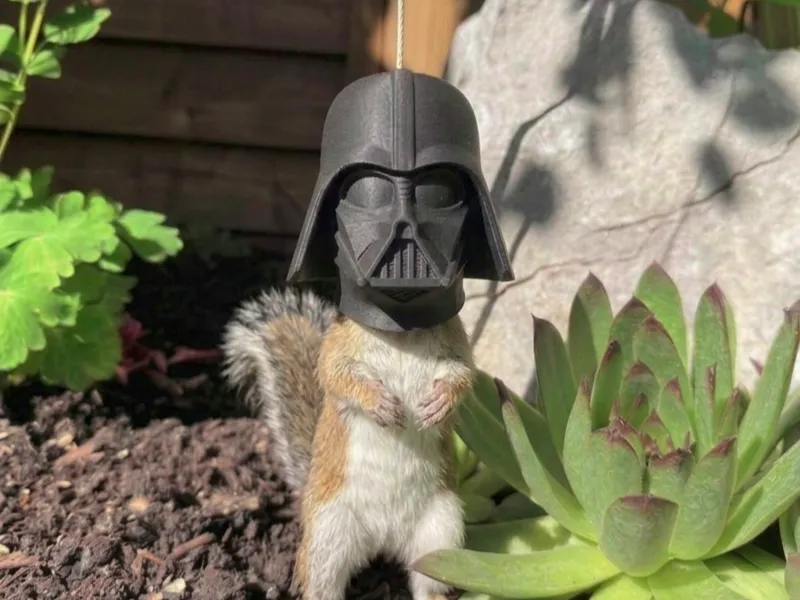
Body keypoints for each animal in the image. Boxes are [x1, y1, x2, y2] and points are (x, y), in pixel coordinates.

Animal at [221, 286, 475, 600]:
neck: (401, 337)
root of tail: (385, 537)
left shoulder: (456, 344)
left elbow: (463, 374)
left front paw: (442, 401)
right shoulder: (339, 344)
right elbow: (336, 375)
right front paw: (377, 402)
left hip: (439, 531)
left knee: (428, 580)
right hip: (327, 533)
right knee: (322, 582)